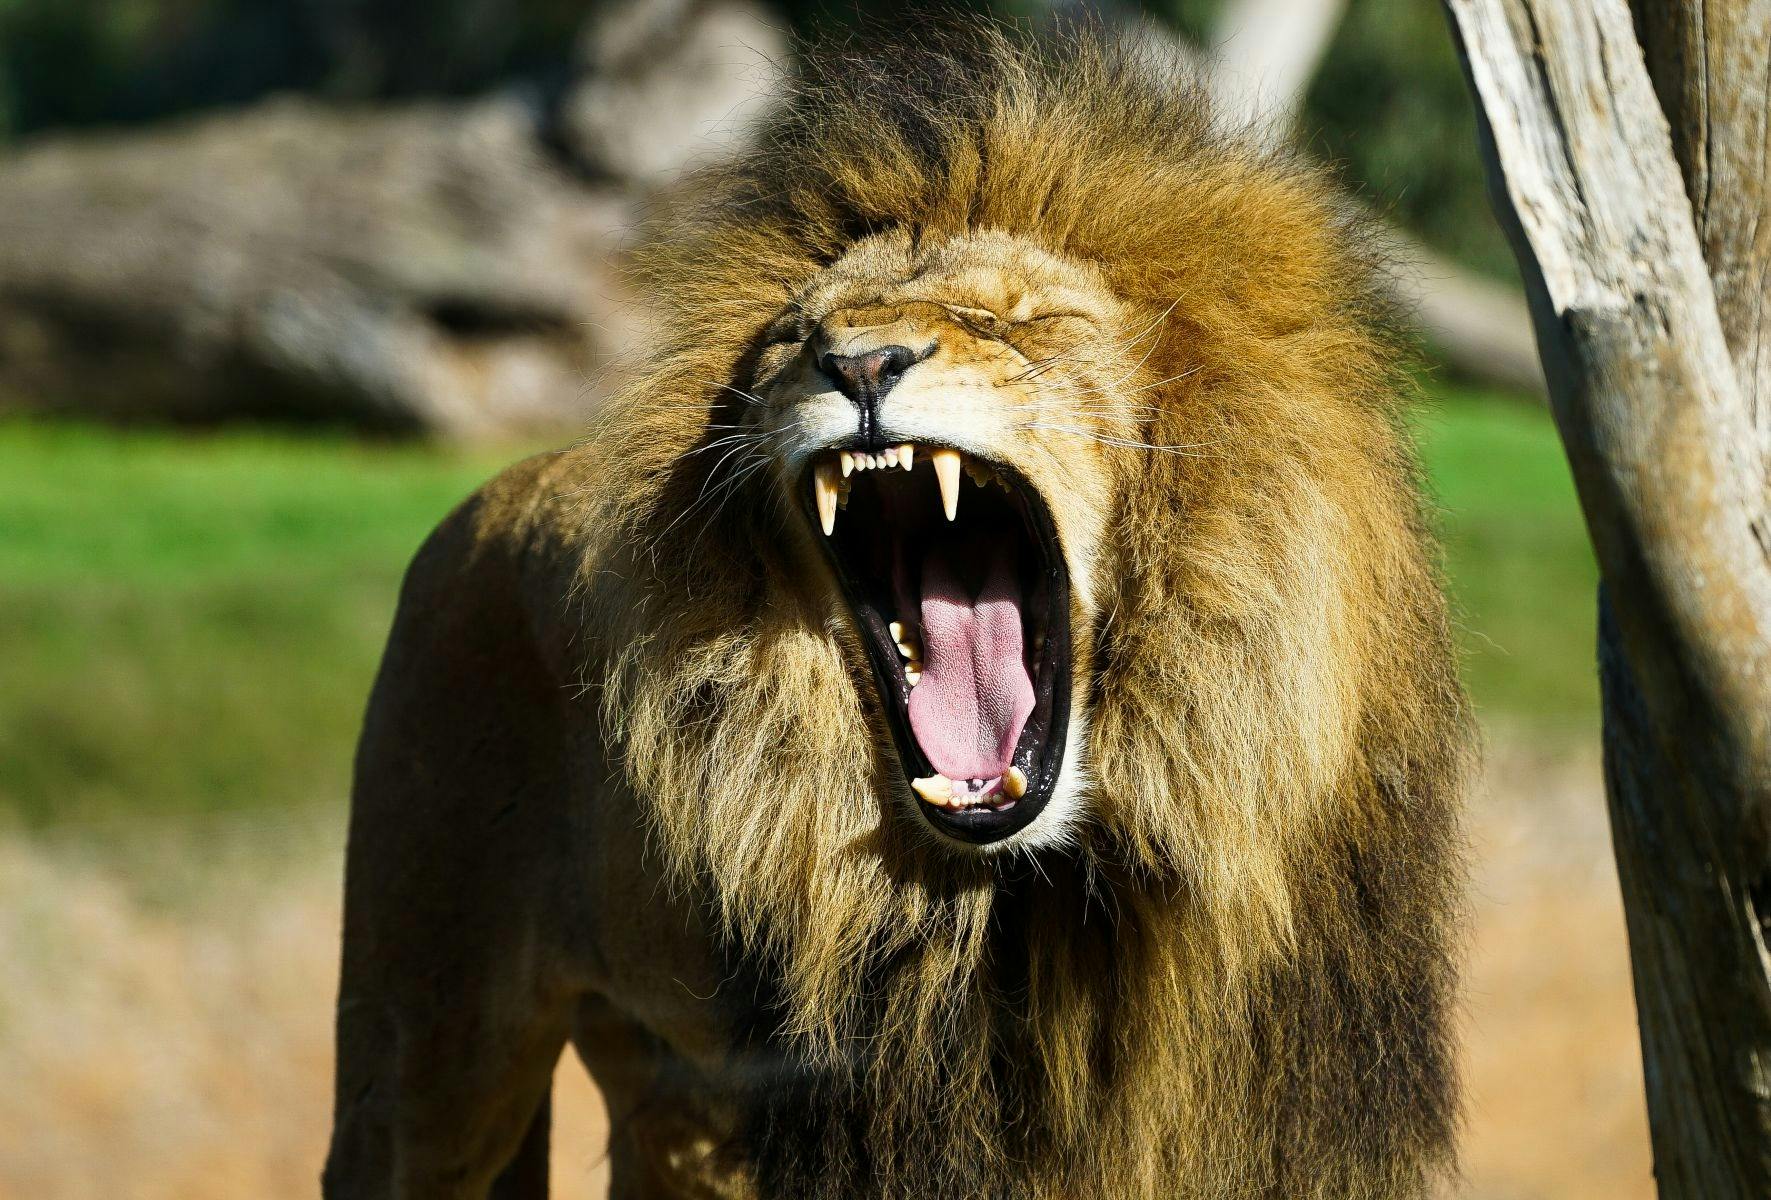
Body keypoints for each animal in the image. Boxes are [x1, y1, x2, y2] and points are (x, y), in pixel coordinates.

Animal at [323, 24, 1471, 1200]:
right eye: (796, 338)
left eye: (1006, 320)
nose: (862, 361)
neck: (1051, 901)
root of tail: (495, 490)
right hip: (422, 1057)